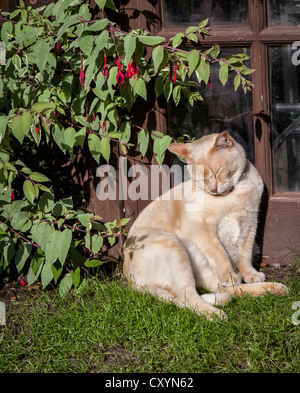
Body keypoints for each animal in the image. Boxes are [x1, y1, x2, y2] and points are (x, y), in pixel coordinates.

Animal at [122, 132, 288, 318]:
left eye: (217, 172)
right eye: (201, 180)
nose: (213, 189)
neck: (236, 193)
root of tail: (129, 278)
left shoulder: (251, 224)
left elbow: (245, 256)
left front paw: (251, 274)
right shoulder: (202, 229)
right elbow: (221, 253)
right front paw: (231, 275)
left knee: (222, 291)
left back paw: (275, 288)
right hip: (173, 244)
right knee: (188, 298)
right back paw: (217, 314)